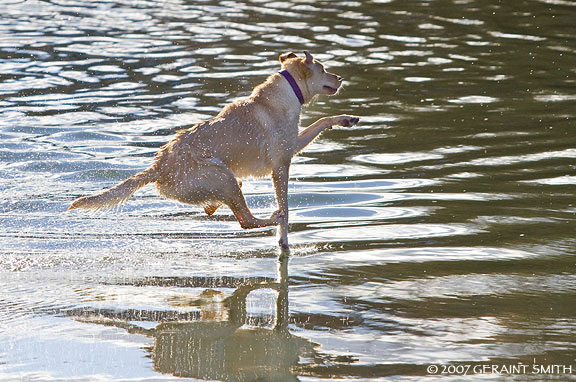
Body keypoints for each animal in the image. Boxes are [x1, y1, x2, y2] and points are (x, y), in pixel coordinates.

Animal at [68, 51, 360, 248]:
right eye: (323, 69)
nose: (341, 77)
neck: (287, 91)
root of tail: (158, 166)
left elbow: (322, 121)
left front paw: (347, 119)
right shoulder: (283, 161)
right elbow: (286, 202)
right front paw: (283, 236)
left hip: (220, 182)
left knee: (232, 210)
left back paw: (215, 206)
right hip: (221, 177)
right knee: (247, 219)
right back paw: (273, 217)